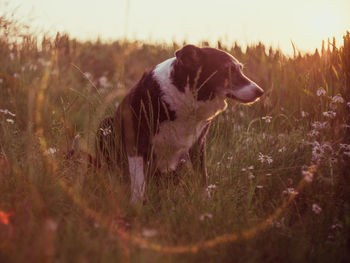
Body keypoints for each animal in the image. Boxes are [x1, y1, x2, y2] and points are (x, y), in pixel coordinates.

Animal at [71, 44, 262, 204]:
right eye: (228, 70)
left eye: (240, 69)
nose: (260, 92)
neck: (184, 96)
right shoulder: (136, 140)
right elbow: (138, 180)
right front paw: (137, 206)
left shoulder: (198, 144)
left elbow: (203, 178)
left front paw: (206, 205)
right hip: (106, 125)